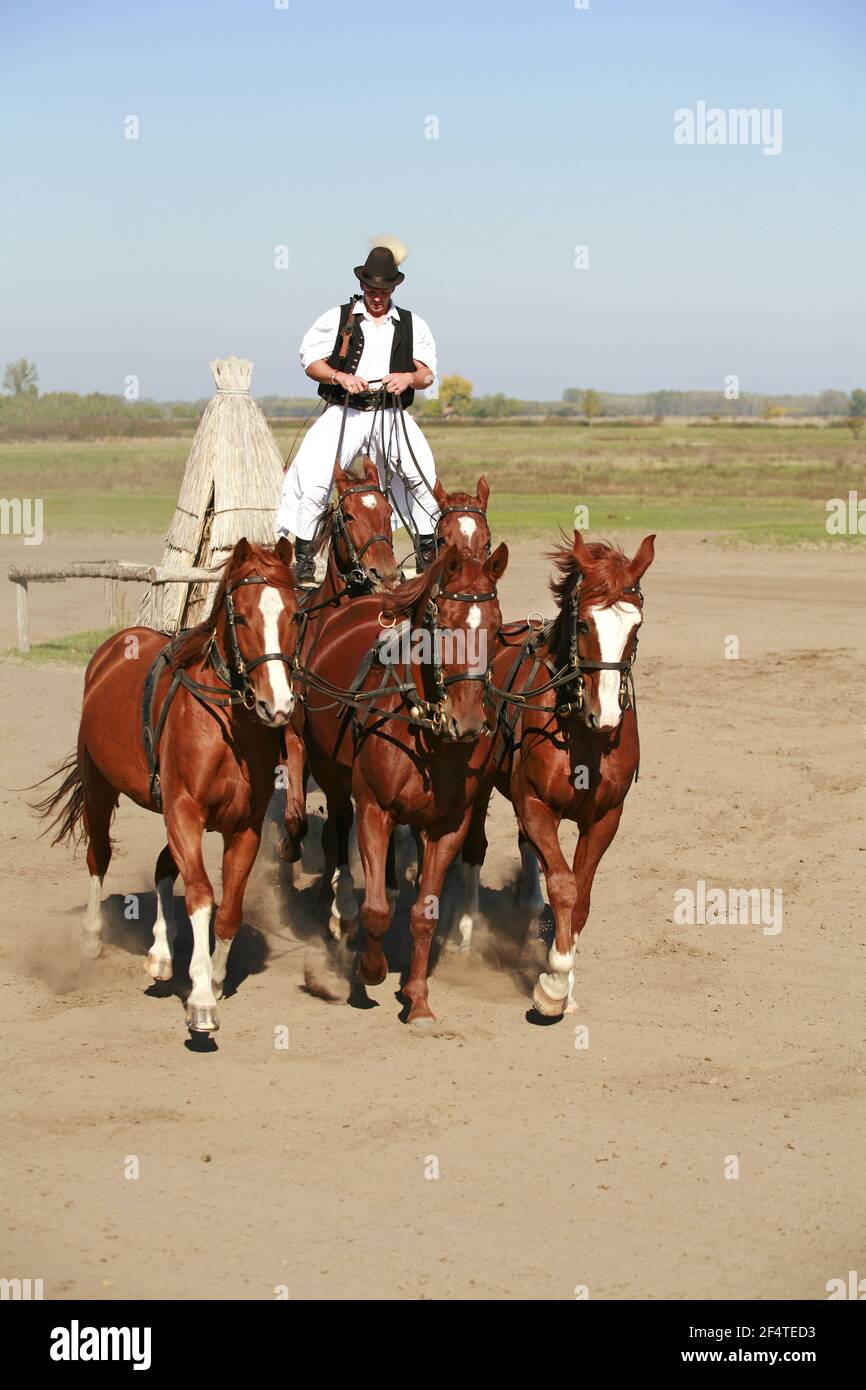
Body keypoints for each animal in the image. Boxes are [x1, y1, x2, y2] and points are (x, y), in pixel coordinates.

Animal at [37, 536, 301, 1039]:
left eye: (295, 615)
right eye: (242, 617)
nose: (277, 705)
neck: (226, 730)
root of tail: (113, 648)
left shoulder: (244, 827)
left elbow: (228, 908)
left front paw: (214, 978)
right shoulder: (184, 811)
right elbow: (200, 896)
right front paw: (200, 999)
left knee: (163, 865)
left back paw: (160, 952)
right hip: (100, 790)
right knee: (99, 857)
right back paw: (92, 938)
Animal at [300, 542, 508, 1023]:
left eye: (494, 627)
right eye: (445, 625)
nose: (468, 722)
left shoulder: (450, 825)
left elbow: (424, 914)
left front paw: (418, 998)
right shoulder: (373, 808)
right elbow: (375, 910)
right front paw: (372, 969)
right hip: (328, 770)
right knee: (338, 824)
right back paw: (340, 908)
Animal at [461, 525, 656, 1017]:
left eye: (636, 626)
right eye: (584, 623)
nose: (607, 715)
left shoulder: (606, 817)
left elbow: (581, 896)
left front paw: (564, 980)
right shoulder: (534, 802)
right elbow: (565, 886)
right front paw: (553, 983)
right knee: (474, 848)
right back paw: (465, 933)